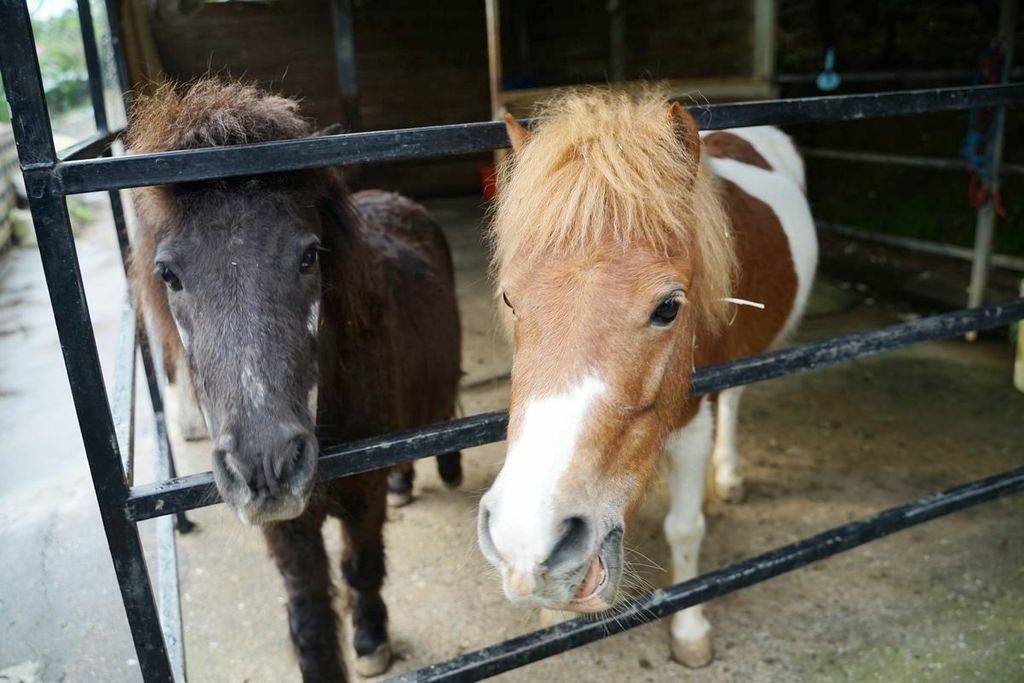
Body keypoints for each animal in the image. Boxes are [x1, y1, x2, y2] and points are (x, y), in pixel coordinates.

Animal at [130, 80, 462, 679]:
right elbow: (306, 603)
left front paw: (371, 642)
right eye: (168, 273)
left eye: (310, 256)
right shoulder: (285, 528)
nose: (266, 467)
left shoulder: (362, 493)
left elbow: (360, 566)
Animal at [475, 90, 819, 667]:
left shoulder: (693, 423)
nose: (525, 541)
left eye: (668, 307)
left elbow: (685, 529)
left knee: (735, 400)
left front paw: (690, 630)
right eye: (509, 299)